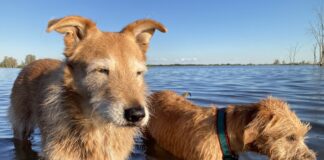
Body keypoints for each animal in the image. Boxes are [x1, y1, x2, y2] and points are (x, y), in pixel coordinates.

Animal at [8, 15, 167, 160]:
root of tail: (30, 64)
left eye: (138, 72)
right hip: (21, 126)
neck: (99, 129)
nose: (137, 115)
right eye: (102, 70)